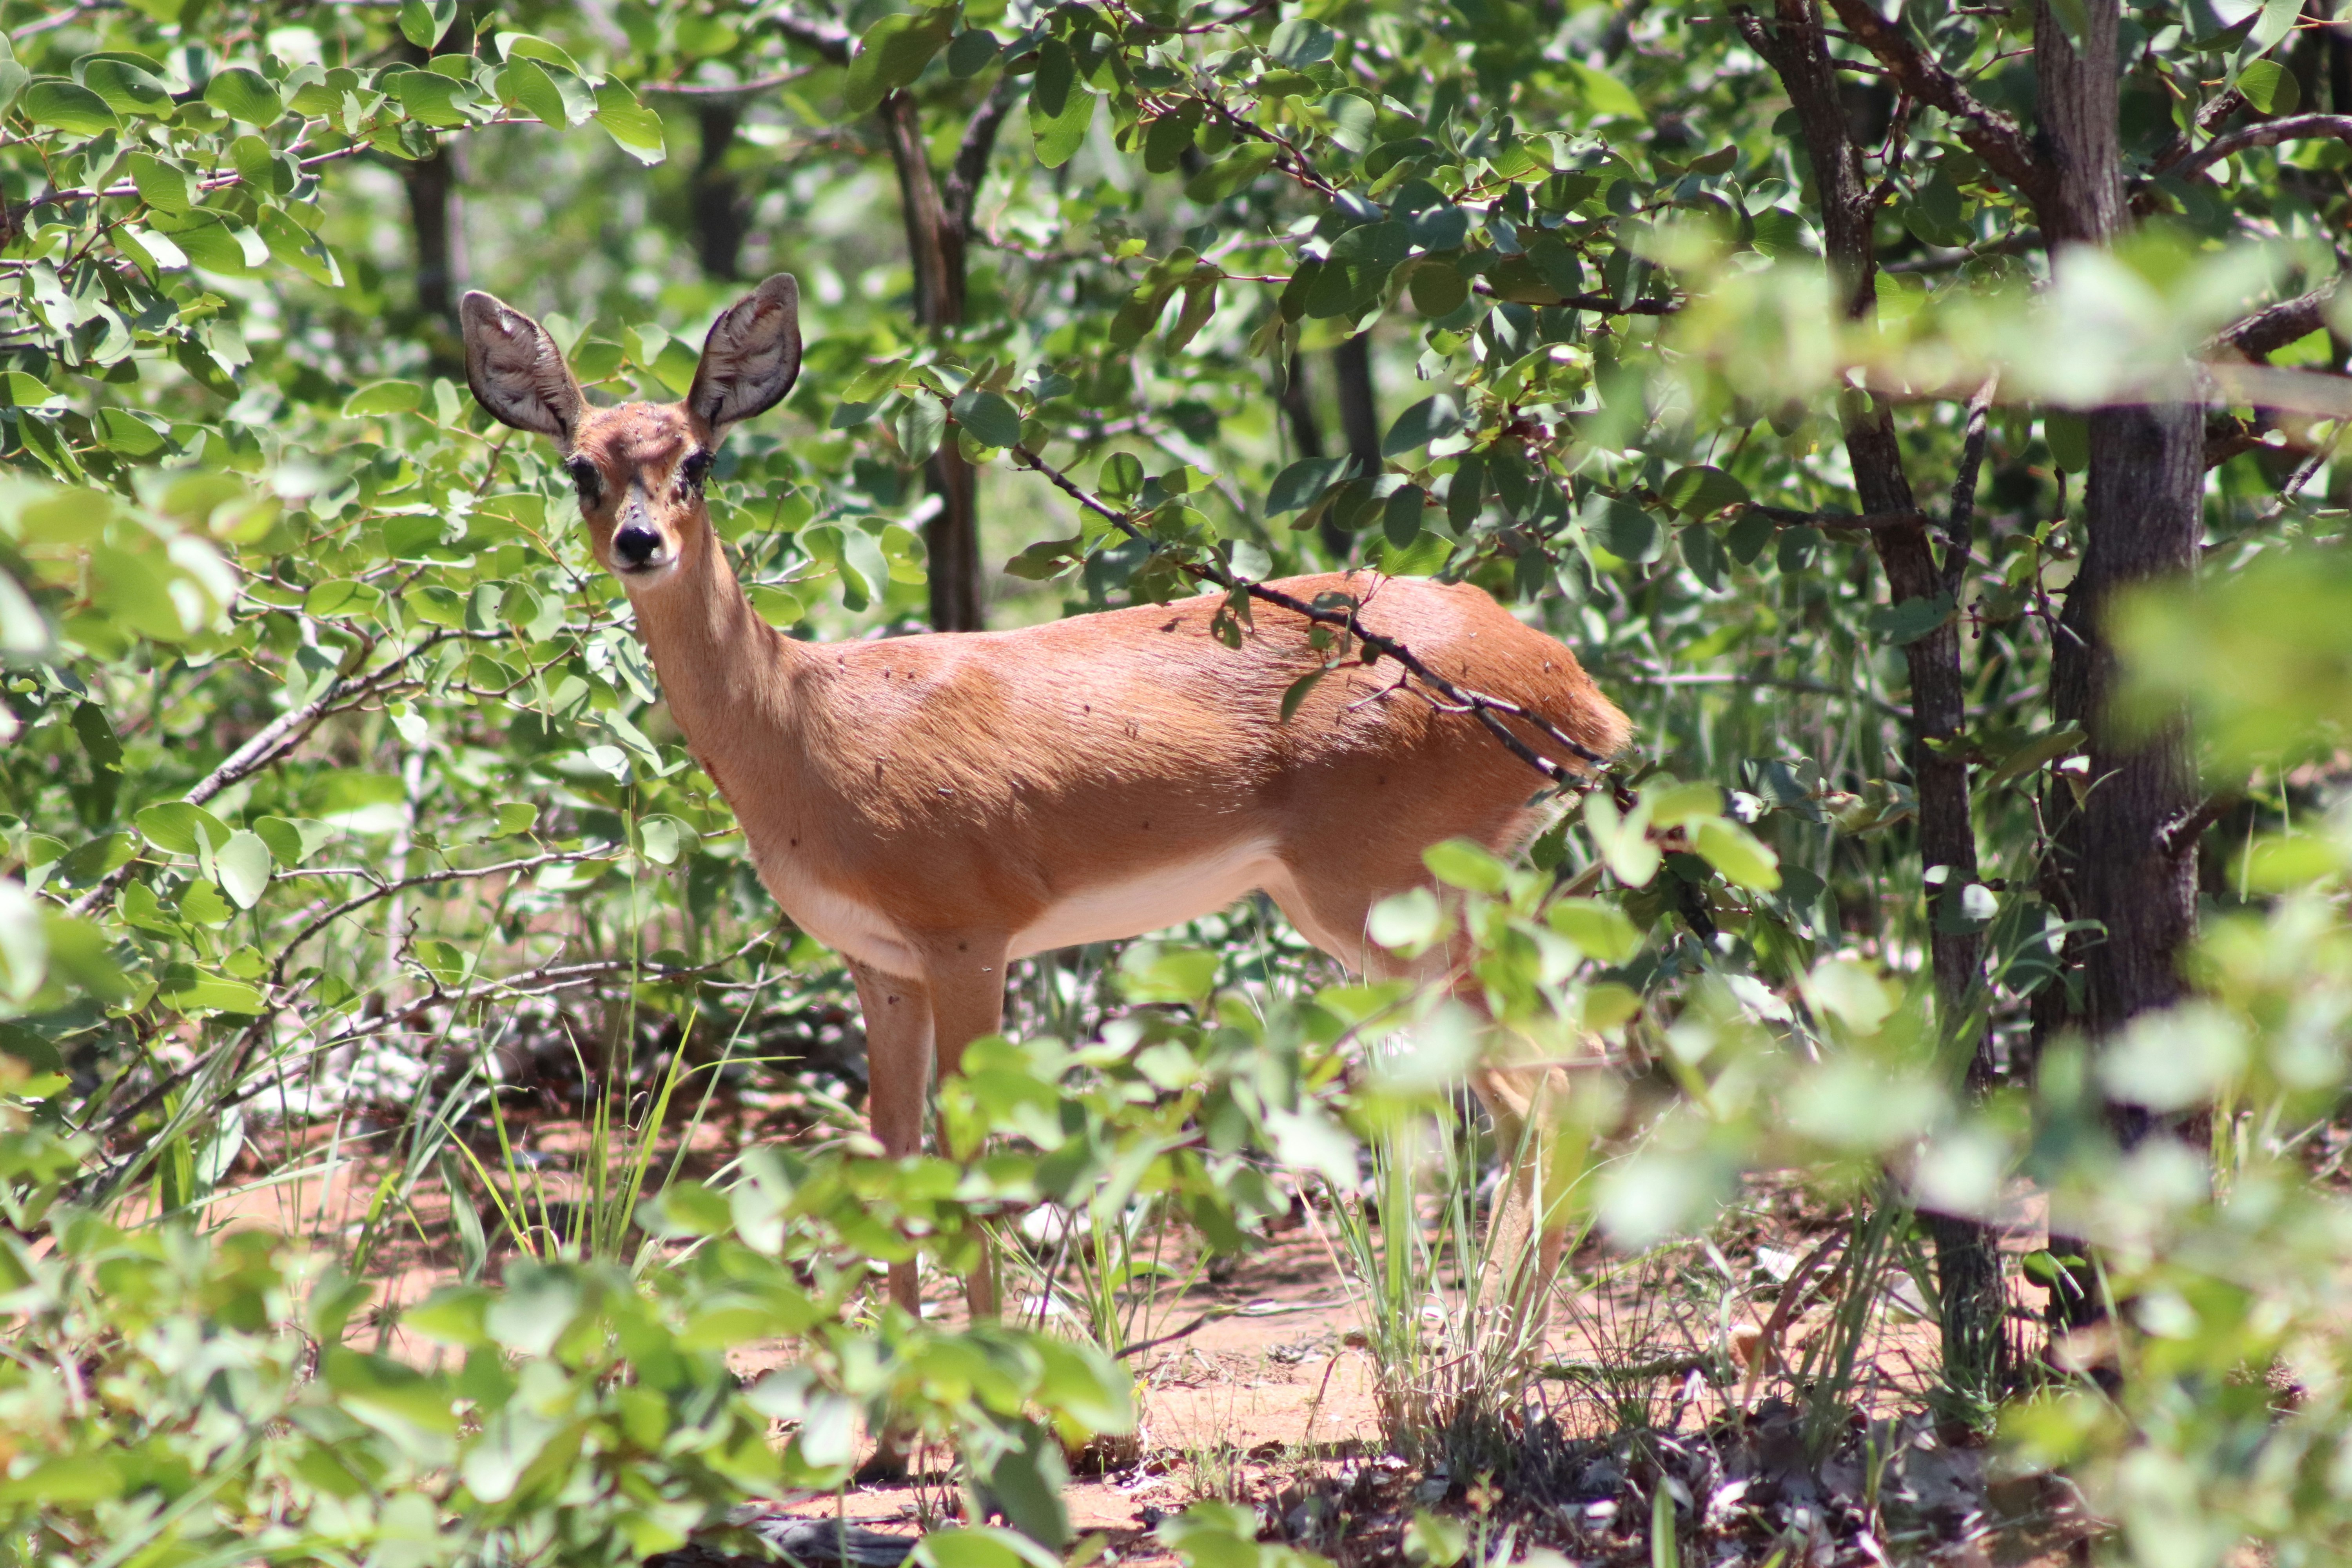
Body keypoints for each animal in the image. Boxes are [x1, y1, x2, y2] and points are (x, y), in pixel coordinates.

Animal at [460, 273, 1630, 1446]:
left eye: (698, 457)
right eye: (582, 466)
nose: (639, 541)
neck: (805, 724)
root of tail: (1571, 691)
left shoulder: (969, 938)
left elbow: (966, 1159)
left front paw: (990, 1406)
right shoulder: (879, 965)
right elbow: (891, 1153)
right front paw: (894, 1428)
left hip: (1393, 908)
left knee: (1555, 1088)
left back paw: (1484, 1374)